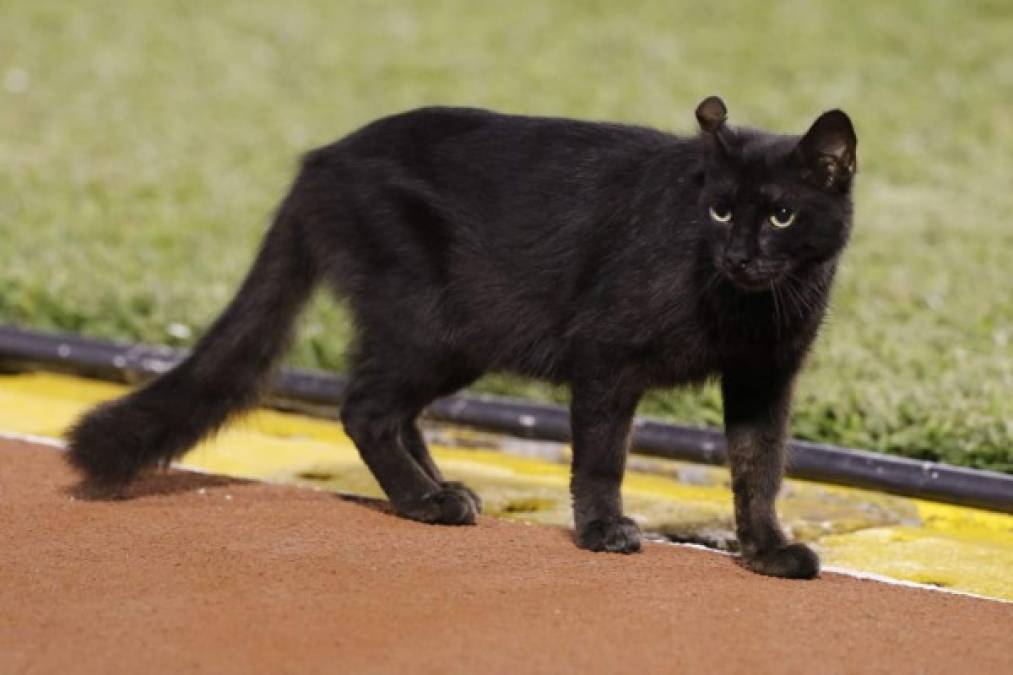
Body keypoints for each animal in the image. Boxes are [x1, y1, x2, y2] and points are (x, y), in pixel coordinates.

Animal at [67, 95, 854, 579]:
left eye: (780, 215)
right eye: (718, 211)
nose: (739, 255)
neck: (747, 306)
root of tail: (322, 158)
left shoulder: (763, 381)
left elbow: (758, 469)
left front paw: (766, 551)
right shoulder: (606, 358)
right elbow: (602, 457)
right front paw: (603, 532)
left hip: (448, 336)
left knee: (392, 411)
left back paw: (439, 489)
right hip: (434, 325)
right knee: (365, 408)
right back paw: (426, 503)